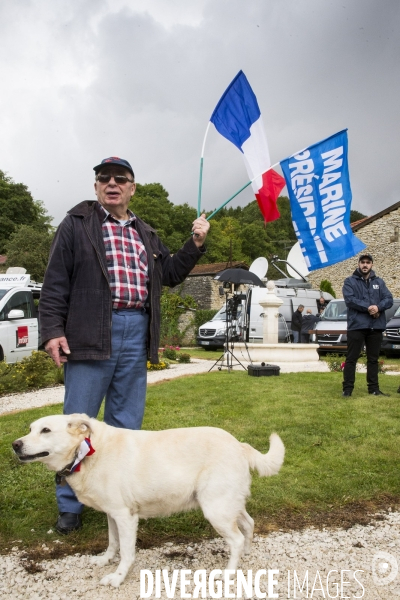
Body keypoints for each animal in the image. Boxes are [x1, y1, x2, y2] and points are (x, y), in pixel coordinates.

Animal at [13, 414, 284, 588]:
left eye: (45, 430)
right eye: (30, 428)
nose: (15, 444)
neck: (87, 453)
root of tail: (239, 444)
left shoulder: (125, 516)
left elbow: (126, 552)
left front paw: (118, 577)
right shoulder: (112, 514)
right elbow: (112, 542)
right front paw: (105, 560)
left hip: (215, 508)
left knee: (236, 538)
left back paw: (228, 573)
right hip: (227, 505)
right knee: (248, 524)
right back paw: (245, 555)